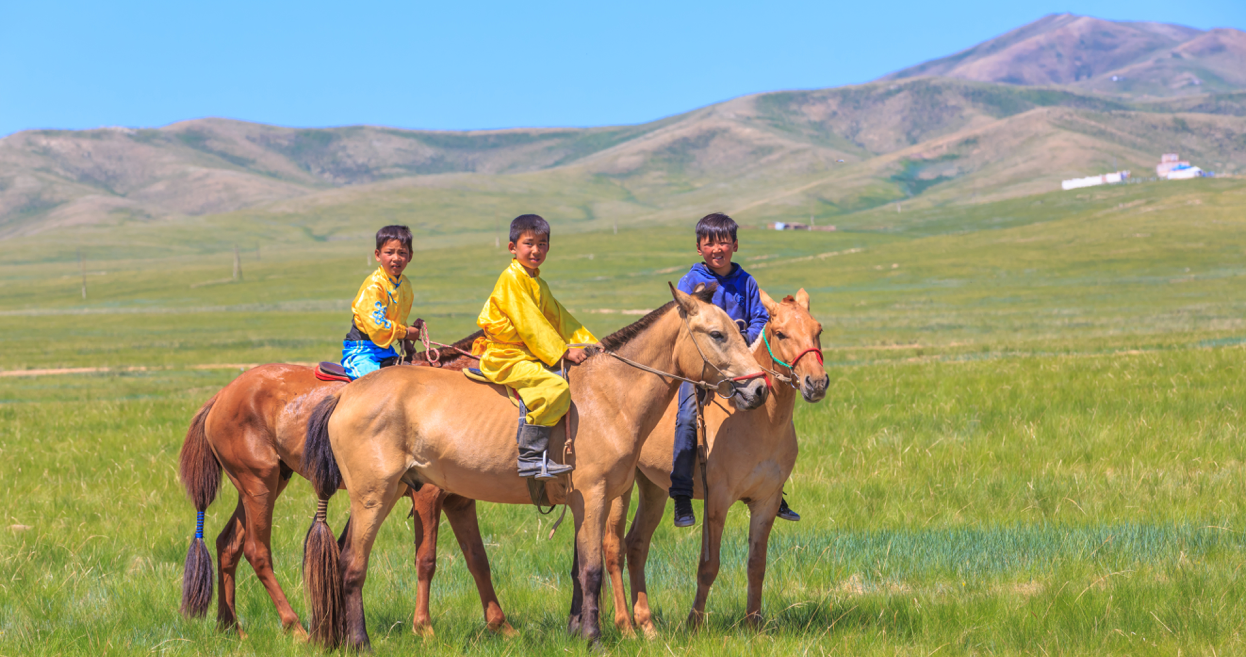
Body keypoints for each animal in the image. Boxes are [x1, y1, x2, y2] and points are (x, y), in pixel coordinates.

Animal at [174, 334, 510, 638]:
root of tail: (221, 395)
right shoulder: (427, 497)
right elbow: (426, 560)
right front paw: (424, 629)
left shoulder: (458, 500)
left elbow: (478, 559)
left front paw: (501, 626)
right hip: (259, 483)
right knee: (257, 552)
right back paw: (295, 627)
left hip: (264, 484)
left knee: (227, 544)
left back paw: (230, 627)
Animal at [300, 285, 767, 648]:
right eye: (717, 334)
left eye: (740, 329)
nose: (760, 389)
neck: (609, 395)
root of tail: (345, 395)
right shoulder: (594, 497)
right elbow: (593, 569)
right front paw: (595, 638)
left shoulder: (590, 501)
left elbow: (582, 567)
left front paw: (580, 630)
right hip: (373, 497)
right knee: (351, 564)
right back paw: (359, 642)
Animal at [603, 289, 827, 638]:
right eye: (781, 334)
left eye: (818, 330)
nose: (815, 383)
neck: (761, 422)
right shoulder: (717, 502)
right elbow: (709, 566)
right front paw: (694, 623)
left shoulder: (766, 502)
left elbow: (757, 565)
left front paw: (754, 623)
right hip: (620, 491)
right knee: (614, 548)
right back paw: (626, 625)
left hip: (653, 488)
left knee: (637, 545)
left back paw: (648, 624)